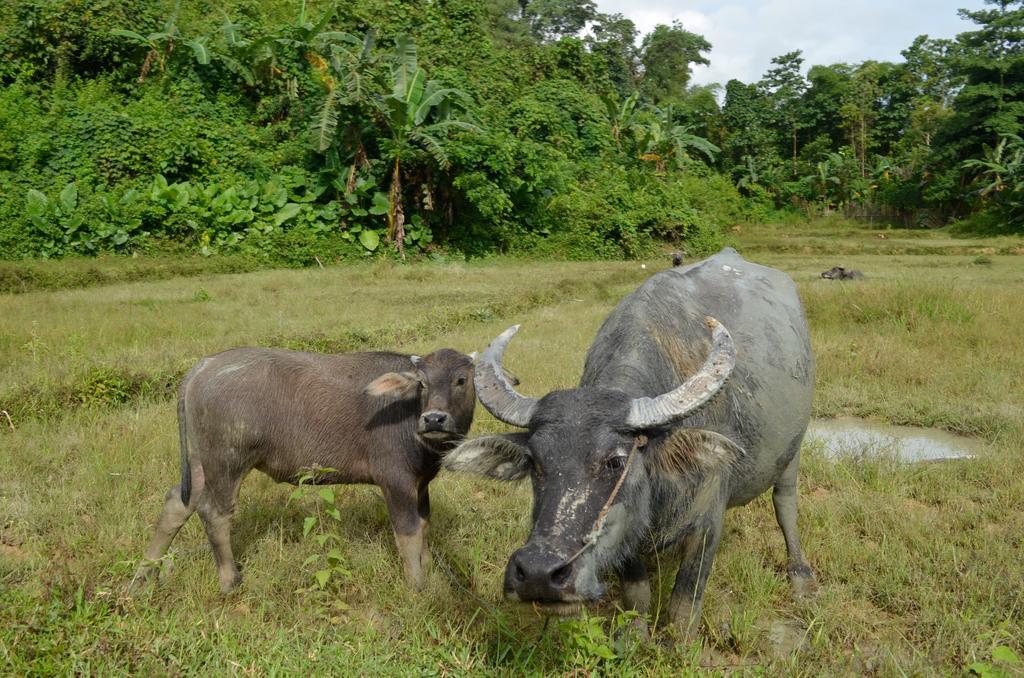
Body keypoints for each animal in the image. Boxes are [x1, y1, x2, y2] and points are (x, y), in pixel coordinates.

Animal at [131, 348, 475, 594]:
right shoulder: (396, 481)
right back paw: (230, 581)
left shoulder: (421, 484)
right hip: (227, 461)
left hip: (202, 461)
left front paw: (428, 568)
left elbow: (425, 525)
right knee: (214, 512)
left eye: (461, 380)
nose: (434, 419)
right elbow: (409, 532)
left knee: (178, 503)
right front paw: (417, 587)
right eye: (423, 383)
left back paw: (142, 577)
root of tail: (205, 365)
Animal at [444, 248, 811, 639]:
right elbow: (636, 592)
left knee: (785, 504)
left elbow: (684, 603)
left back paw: (801, 576)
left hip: (793, 451)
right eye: (535, 463)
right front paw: (633, 637)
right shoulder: (627, 531)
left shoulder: (709, 515)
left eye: (616, 462)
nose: (539, 574)